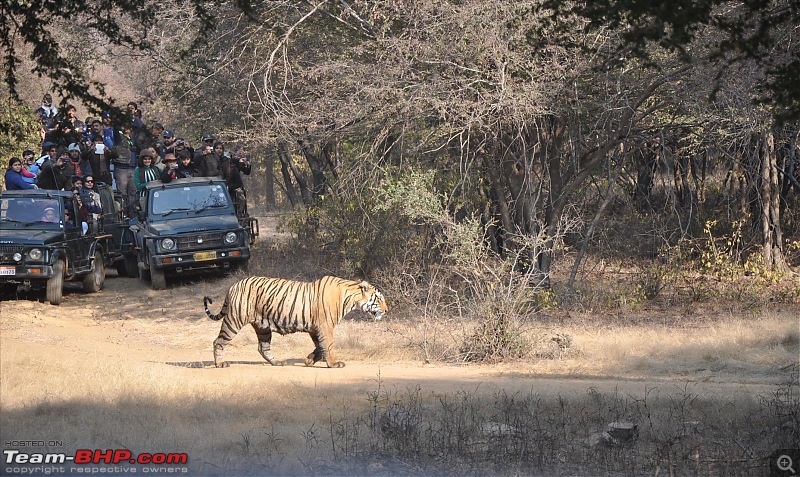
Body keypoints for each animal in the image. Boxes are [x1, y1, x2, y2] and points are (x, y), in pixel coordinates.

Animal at [202, 276, 386, 368]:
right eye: (379, 299)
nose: (387, 310)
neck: (351, 298)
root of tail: (233, 286)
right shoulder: (325, 326)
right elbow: (328, 346)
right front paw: (333, 364)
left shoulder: (315, 328)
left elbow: (320, 347)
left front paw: (309, 360)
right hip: (234, 320)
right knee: (218, 341)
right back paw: (220, 363)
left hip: (262, 327)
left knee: (263, 348)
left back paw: (277, 363)